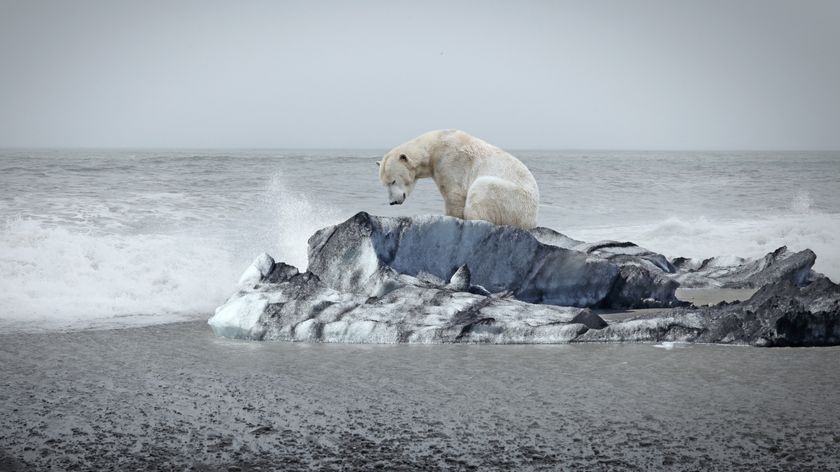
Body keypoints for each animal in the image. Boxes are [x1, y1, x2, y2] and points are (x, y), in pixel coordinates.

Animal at [378, 129, 540, 229]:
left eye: (393, 181)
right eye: (384, 184)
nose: (392, 202)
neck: (435, 145)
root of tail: (532, 220)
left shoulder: (450, 161)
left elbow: (454, 195)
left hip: (514, 200)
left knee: (482, 188)